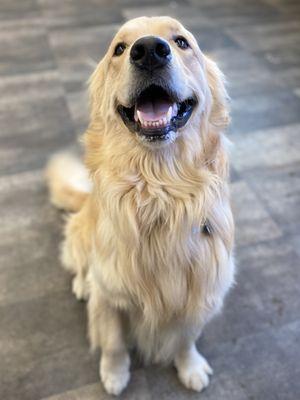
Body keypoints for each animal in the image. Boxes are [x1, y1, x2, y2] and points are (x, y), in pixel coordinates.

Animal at [46, 16, 234, 396]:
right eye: (119, 48)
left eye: (181, 42)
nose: (148, 50)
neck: (160, 193)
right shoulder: (110, 294)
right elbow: (114, 342)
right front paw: (115, 374)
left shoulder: (202, 287)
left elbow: (186, 338)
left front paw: (190, 367)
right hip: (80, 235)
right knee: (79, 263)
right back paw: (81, 284)